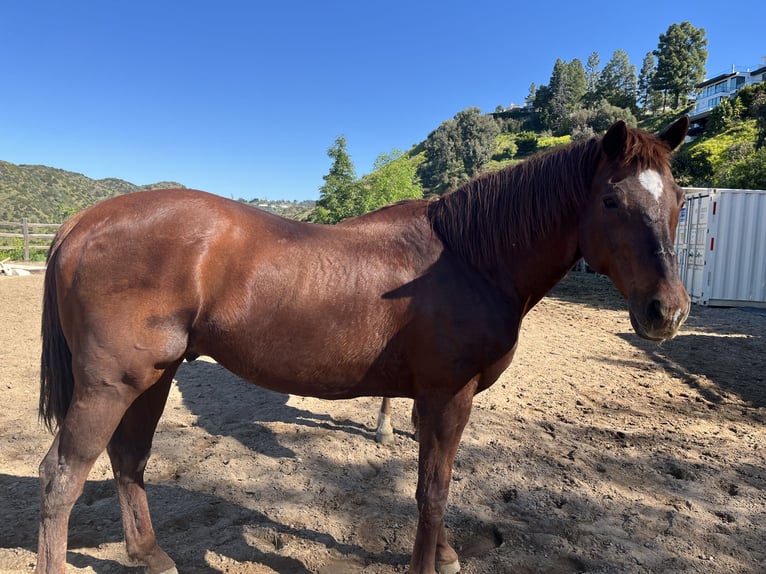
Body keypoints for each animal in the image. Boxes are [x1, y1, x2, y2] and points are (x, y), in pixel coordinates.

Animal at [37, 118, 688, 574]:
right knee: (61, 477)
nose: (669, 311)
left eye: (678, 201)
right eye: (611, 200)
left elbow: (432, 482)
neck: (470, 258)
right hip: (111, 385)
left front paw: (445, 554)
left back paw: (152, 556)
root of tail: (80, 223)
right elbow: (432, 491)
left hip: (155, 376)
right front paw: (429, 564)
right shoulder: (448, 397)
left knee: (128, 461)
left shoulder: (431, 398)